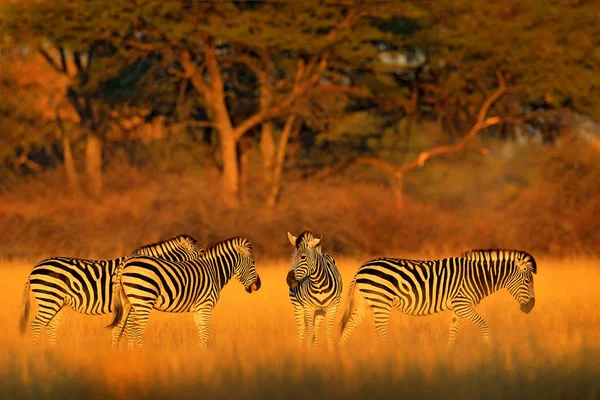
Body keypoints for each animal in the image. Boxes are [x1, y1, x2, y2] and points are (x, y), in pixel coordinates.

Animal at [18, 234, 204, 346]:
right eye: (201, 253)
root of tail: (34, 268)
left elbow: (123, 330)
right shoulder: (133, 306)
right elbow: (127, 330)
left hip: (57, 302)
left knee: (50, 327)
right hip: (49, 298)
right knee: (37, 325)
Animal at [107, 236, 260, 348]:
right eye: (253, 262)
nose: (259, 285)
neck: (213, 271)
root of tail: (125, 262)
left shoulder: (197, 309)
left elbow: (201, 333)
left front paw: (202, 354)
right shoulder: (206, 305)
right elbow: (206, 333)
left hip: (127, 302)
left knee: (119, 329)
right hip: (143, 300)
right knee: (136, 330)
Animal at [340, 250, 536, 346]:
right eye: (527, 281)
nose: (531, 307)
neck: (477, 277)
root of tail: (361, 268)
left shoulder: (458, 308)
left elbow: (453, 331)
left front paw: (448, 355)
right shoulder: (463, 304)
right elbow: (484, 324)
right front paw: (487, 349)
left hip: (366, 303)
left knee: (349, 325)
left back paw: (340, 352)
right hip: (381, 301)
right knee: (379, 329)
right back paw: (386, 352)